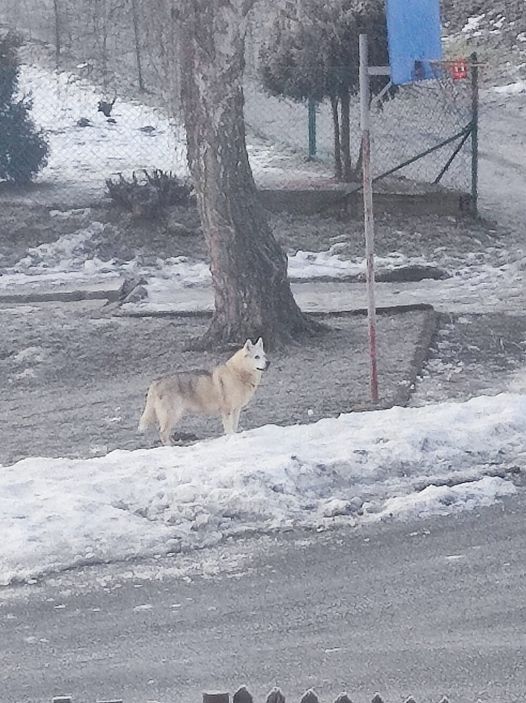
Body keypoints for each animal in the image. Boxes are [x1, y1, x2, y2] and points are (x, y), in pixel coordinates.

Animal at [138, 338, 269, 445]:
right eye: (257, 357)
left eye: (264, 355)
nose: (268, 362)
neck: (238, 374)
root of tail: (156, 381)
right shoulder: (226, 411)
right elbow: (229, 429)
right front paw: (231, 438)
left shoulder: (236, 410)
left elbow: (234, 427)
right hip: (172, 414)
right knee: (163, 433)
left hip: (175, 415)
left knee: (166, 433)